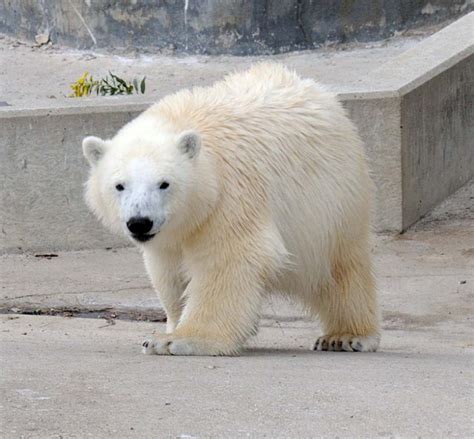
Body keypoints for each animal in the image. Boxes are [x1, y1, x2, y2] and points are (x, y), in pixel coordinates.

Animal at [81, 63, 380, 356]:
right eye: (119, 185)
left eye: (164, 183)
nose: (140, 222)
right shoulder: (171, 236)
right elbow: (168, 273)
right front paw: (172, 326)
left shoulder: (230, 198)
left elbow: (228, 260)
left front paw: (176, 340)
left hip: (332, 202)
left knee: (340, 268)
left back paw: (346, 336)